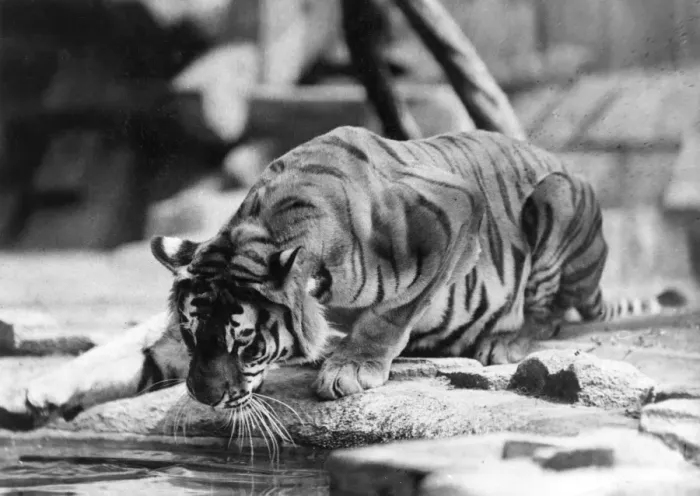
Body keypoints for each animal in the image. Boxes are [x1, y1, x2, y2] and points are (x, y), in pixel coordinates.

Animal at [19, 125, 684, 425]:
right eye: (193, 333)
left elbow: (393, 311)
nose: (206, 399)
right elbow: (136, 354)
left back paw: (506, 339)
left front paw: (351, 368)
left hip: (557, 195)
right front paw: (41, 391)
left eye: (246, 343)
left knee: (550, 309)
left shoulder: (453, 211)